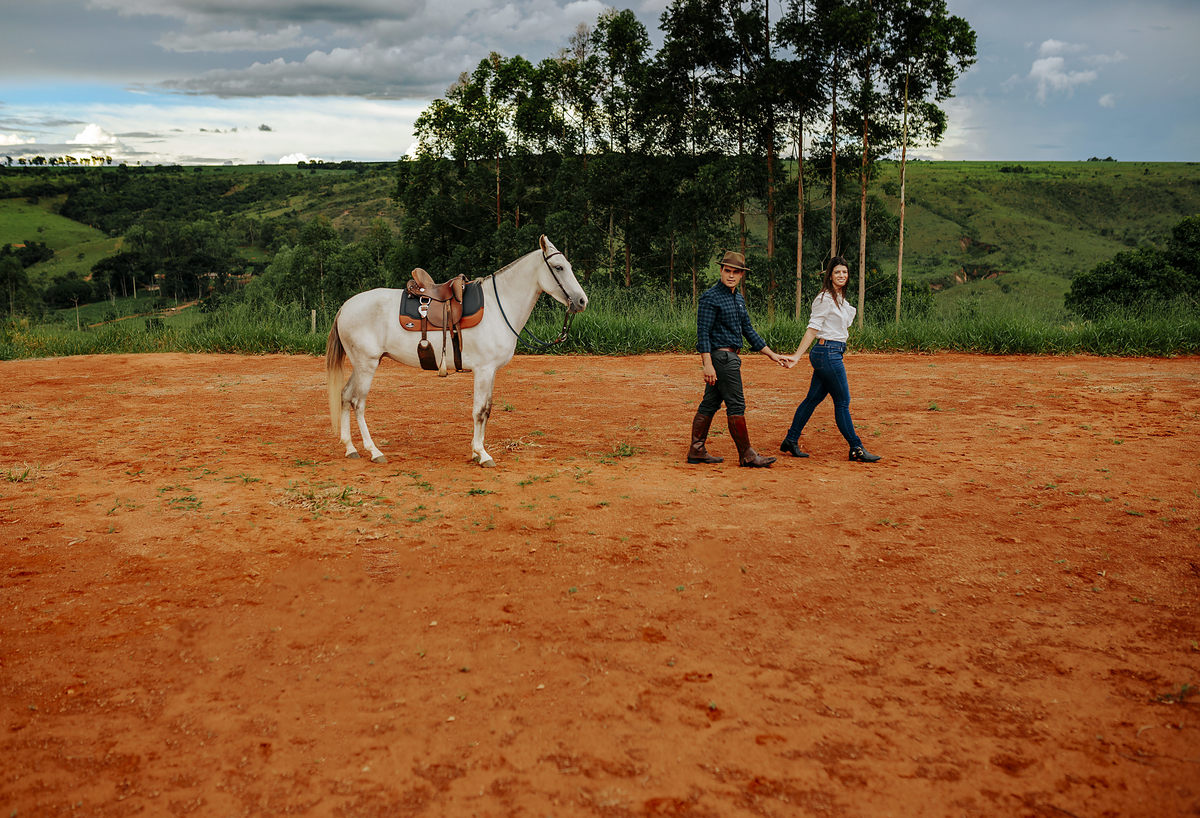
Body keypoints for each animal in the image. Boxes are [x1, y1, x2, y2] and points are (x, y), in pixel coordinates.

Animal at [325, 235, 588, 467]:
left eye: (569, 266)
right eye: (559, 267)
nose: (582, 301)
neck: (498, 307)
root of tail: (345, 307)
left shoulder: (491, 372)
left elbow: (486, 410)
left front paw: (476, 452)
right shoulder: (484, 370)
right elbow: (480, 411)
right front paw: (482, 454)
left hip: (362, 365)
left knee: (345, 396)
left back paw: (350, 448)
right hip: (367, 365)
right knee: (357, 402)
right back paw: (374, 451)